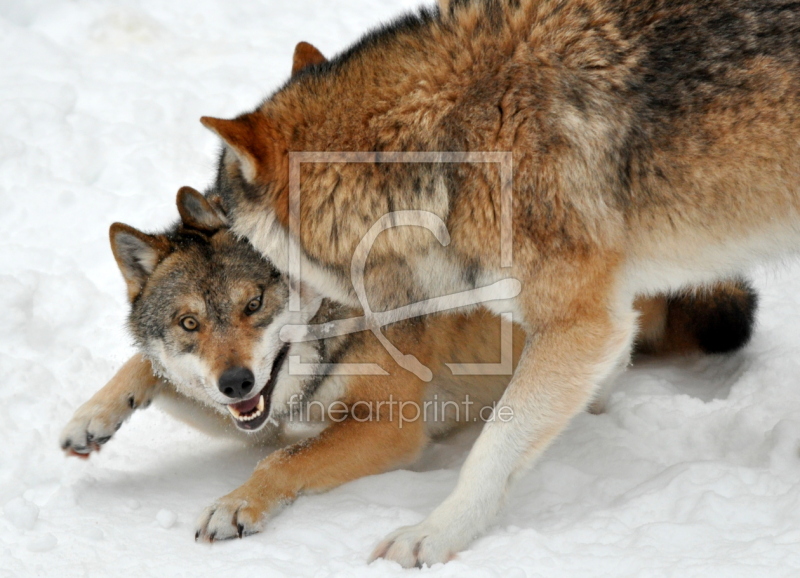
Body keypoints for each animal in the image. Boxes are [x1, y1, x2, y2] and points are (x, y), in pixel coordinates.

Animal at [192, 0, 788, 564]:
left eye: (223, 214)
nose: (187, 220)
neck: (446, 152)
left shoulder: (580, 321)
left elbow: (494, 443)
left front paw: (433, 535)